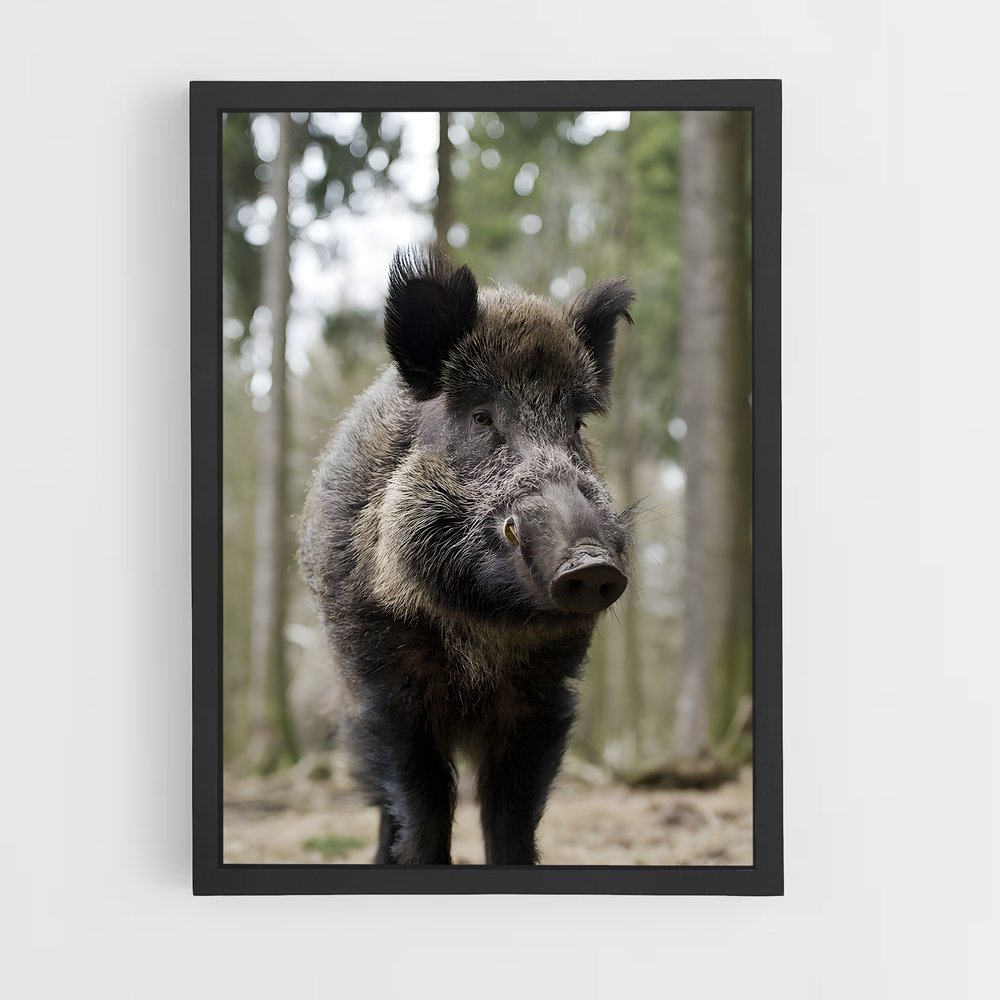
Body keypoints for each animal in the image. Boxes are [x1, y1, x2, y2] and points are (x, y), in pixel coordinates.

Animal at [299, 244, 635, 865]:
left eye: (576, 425)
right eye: (482, 417)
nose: (590, 562)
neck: (481, 630)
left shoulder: (544, 693)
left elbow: (513, 817)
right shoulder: (388, 690)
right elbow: (423, 808)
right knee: (381, 806)